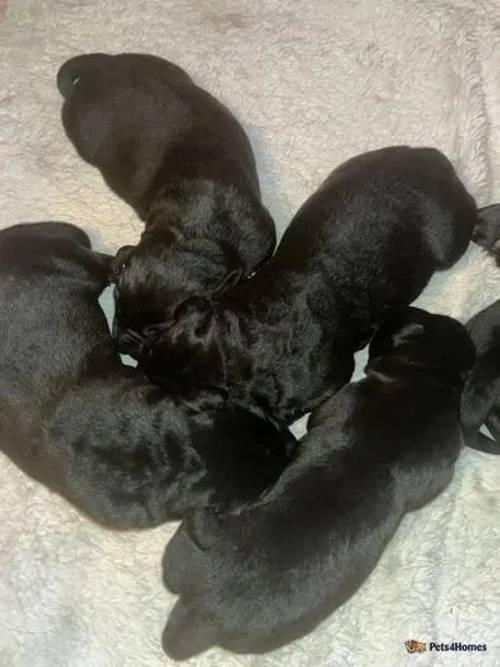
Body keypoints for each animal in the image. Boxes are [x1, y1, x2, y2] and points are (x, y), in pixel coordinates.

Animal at [0, 223, 292, 528]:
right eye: (273, 480)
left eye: (268, 417)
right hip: (77, 267)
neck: (175, 457)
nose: (294, 443)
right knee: (108, 262)